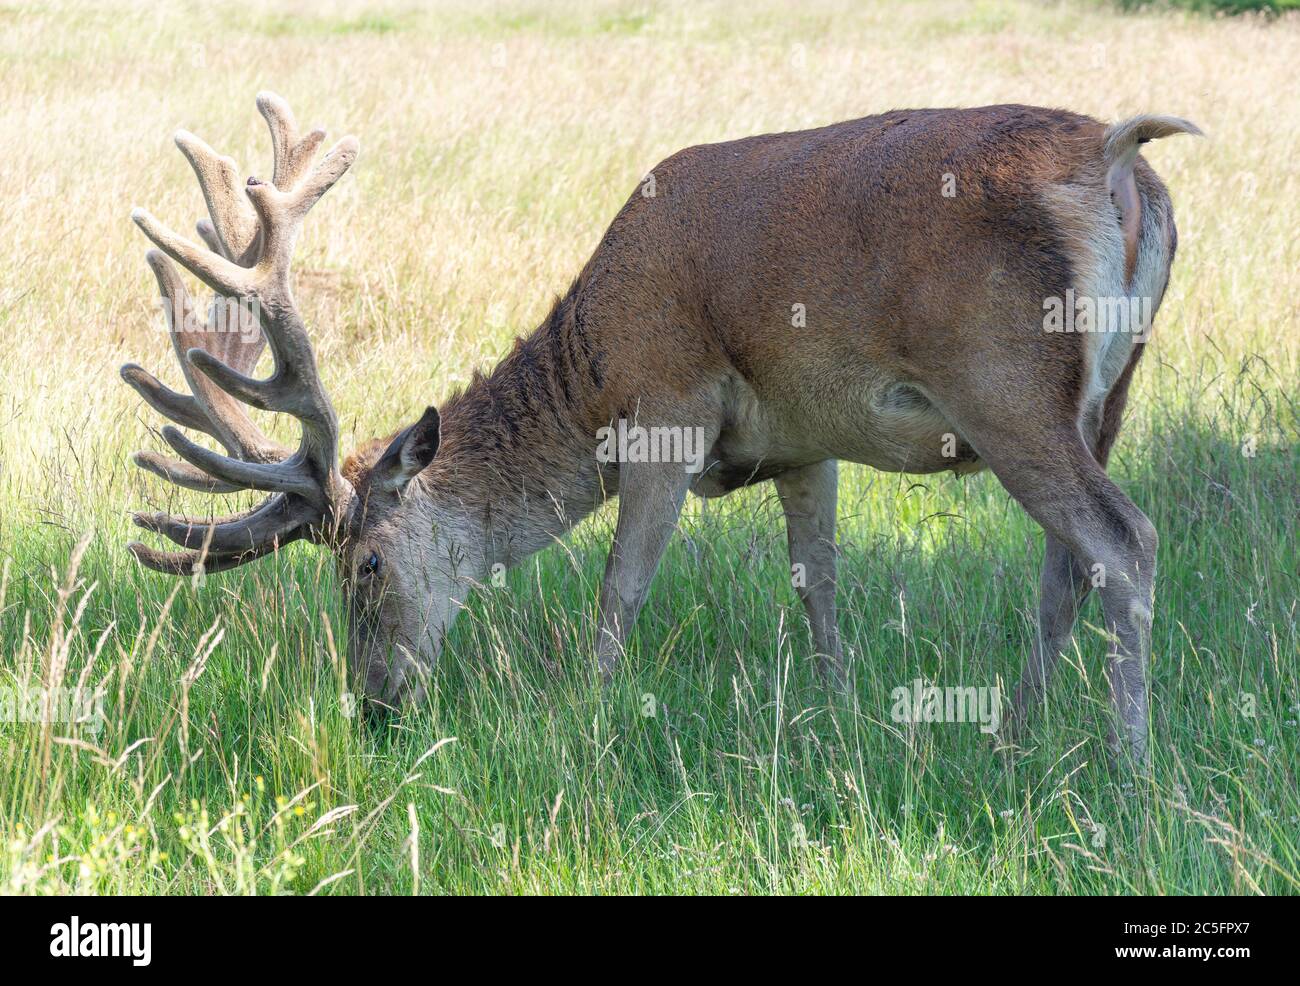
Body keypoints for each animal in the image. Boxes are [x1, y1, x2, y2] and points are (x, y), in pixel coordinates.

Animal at [122, 93, 1199, 764]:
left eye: (367, 564)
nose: (375, 705)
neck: (592, 369)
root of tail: (1124, 167)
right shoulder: (805, 439)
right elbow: (818, 585)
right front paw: (837, 709)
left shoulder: (669, 406)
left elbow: (619, 589)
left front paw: (582, 720)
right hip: (1106, 396)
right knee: (1069, 565)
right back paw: (1016, 736)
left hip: (1002, 380)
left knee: (1126, 540)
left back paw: (1130, 770)